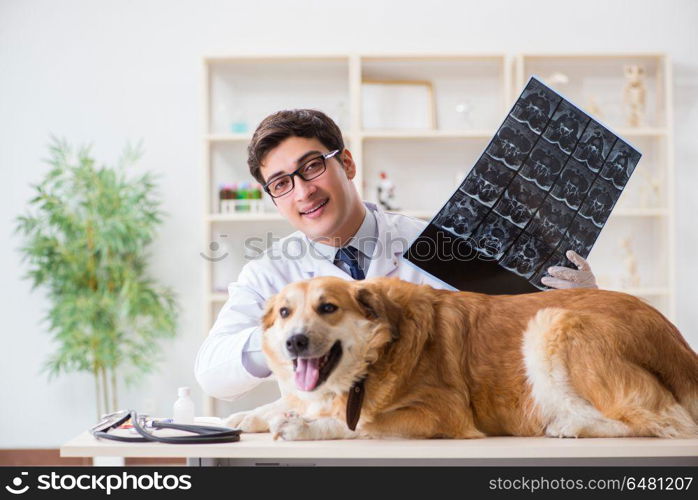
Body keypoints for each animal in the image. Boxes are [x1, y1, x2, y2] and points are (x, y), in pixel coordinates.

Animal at [224, 278, 696, 442]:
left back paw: (570, 425)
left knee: (665, 421)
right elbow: (287, 402)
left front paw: (304, 427)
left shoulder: (443, 412)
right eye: (285, 312)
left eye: (328, 308)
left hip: (552, 321)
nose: (295, 343)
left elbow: (362, 423)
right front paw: (245, 416)